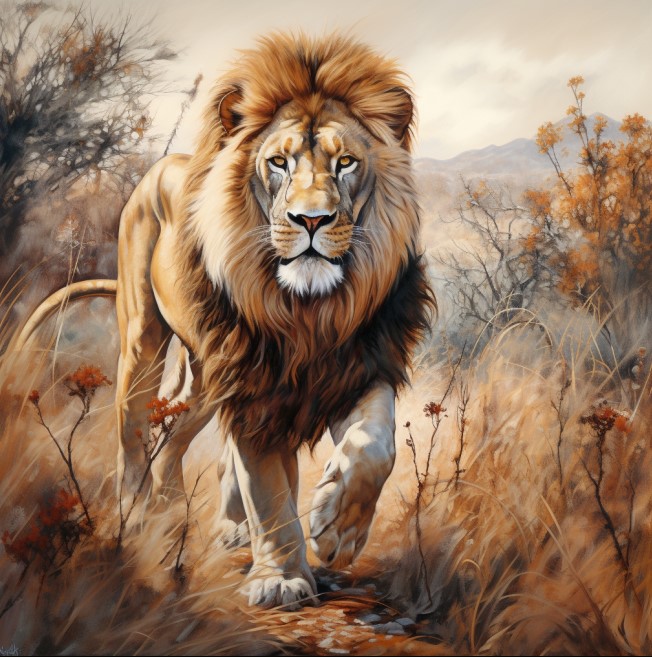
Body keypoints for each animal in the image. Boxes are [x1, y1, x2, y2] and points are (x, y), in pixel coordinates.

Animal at [14, 32, 435, 609]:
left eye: (346, 162)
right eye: (278, 162)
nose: (311, 220)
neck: (308, 310)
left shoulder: (357, 366)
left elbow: (375, 446)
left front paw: (338, 530)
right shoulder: (253, 385)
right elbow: (268, 488)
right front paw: (281, 577)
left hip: (205, 380)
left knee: (172, 437)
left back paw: (178, 512)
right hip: (145, 342)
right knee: (133, 428)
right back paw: (136, 520)